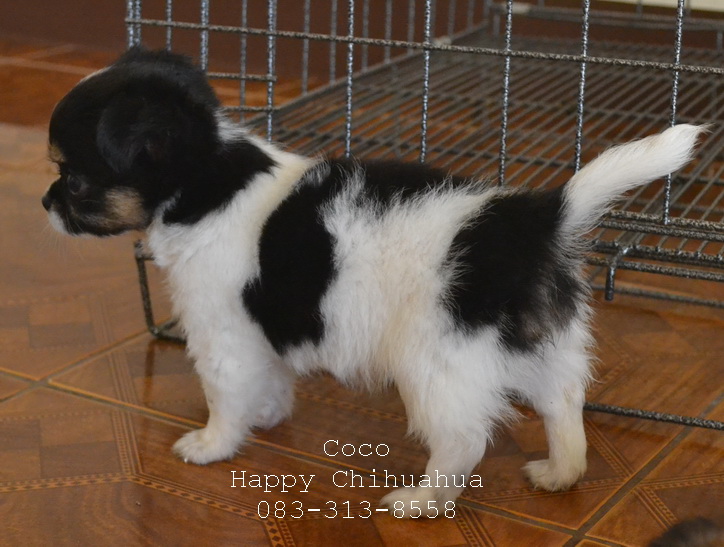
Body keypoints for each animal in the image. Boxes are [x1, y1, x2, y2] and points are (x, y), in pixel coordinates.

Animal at [42, 48, 705, 516]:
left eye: (73, 179)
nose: (45, 204)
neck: (208, 178)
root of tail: (528, 220)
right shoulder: (261, 330)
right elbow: (270, 377)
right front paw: (270, 414)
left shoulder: (221, 333)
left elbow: (225, 398)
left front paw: (211, 445)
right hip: (545, 344)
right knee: (564, 404)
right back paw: (559, 472)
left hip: (437, 360)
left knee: (463, 438)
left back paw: (422, 502)